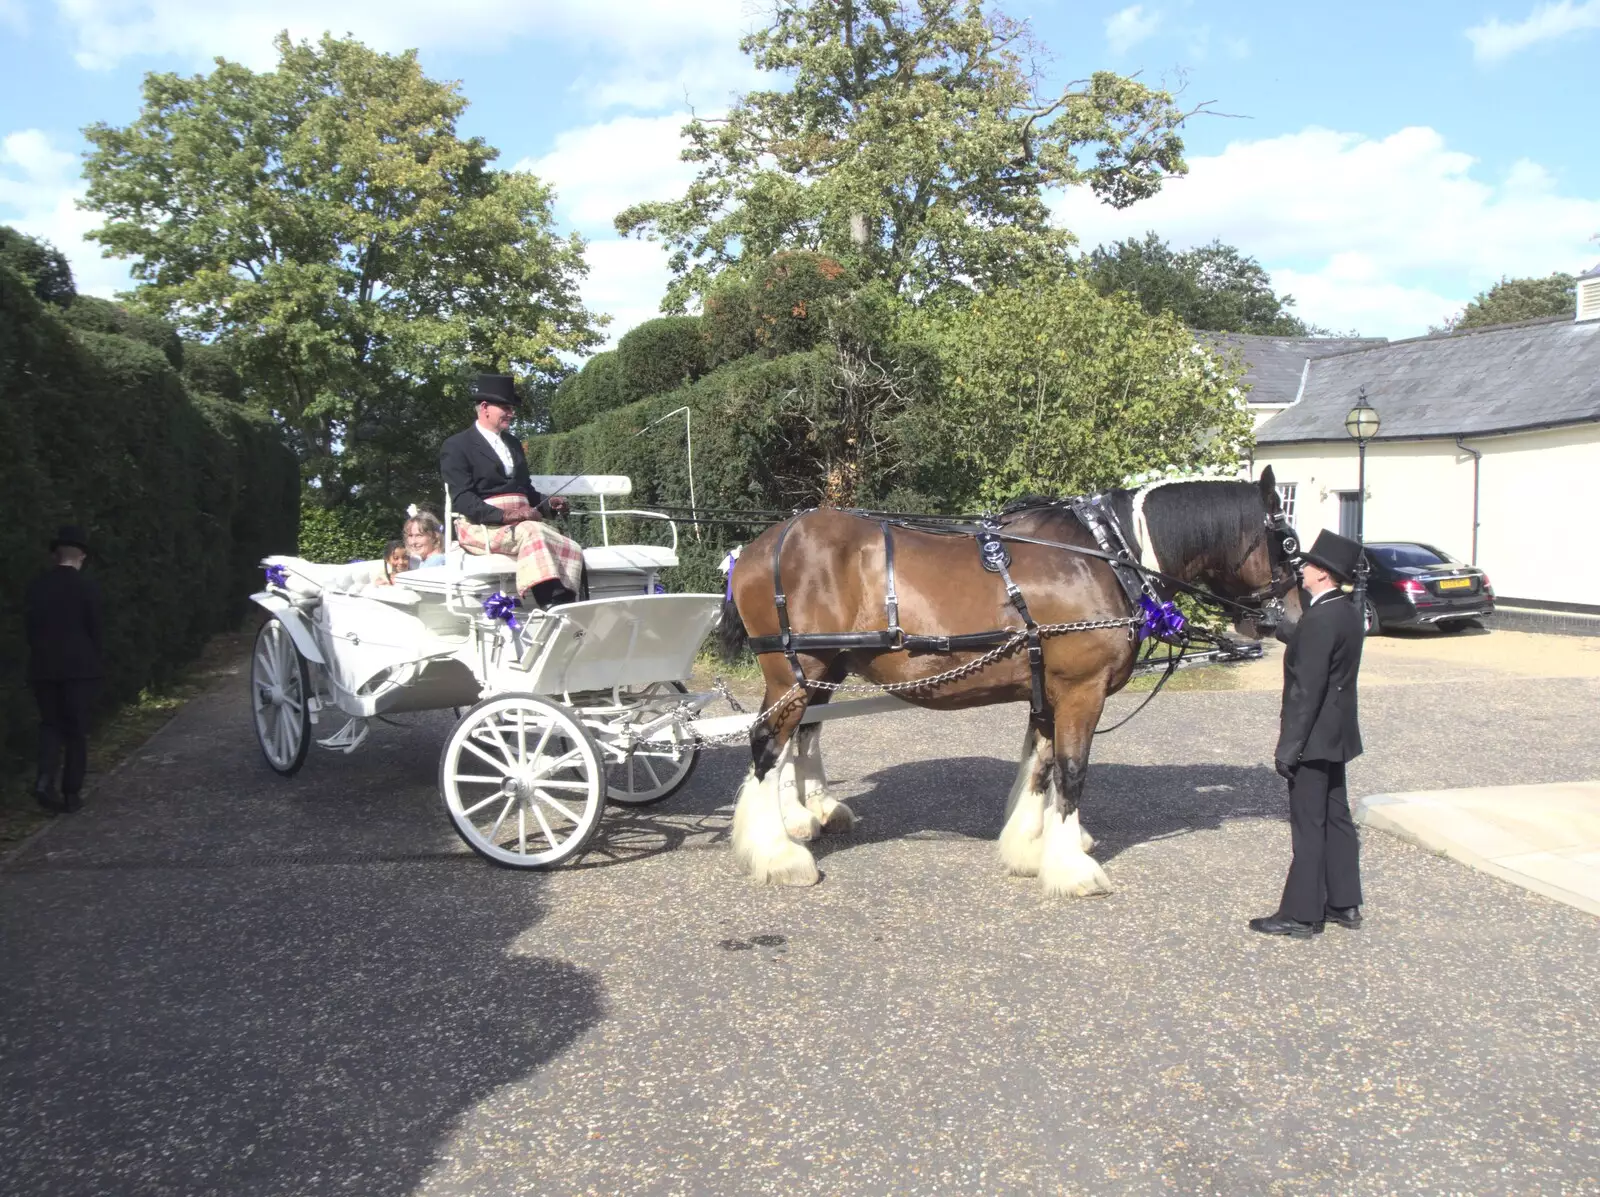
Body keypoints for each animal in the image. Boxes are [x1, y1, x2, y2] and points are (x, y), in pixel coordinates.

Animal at [723, 467, 1299, 896]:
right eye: (1288, 541)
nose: (1292, 618)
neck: (1110, 556)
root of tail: (756, 548)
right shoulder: (1081, 690)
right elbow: (1071, 772)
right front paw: (1072, 869)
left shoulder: (1049, 689)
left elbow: (1040, 767)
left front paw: (1028, 847)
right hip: (796, 672)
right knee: (767, 745)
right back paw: (779, 853)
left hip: (826, 669)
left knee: (802, 737)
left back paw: (808, 814)